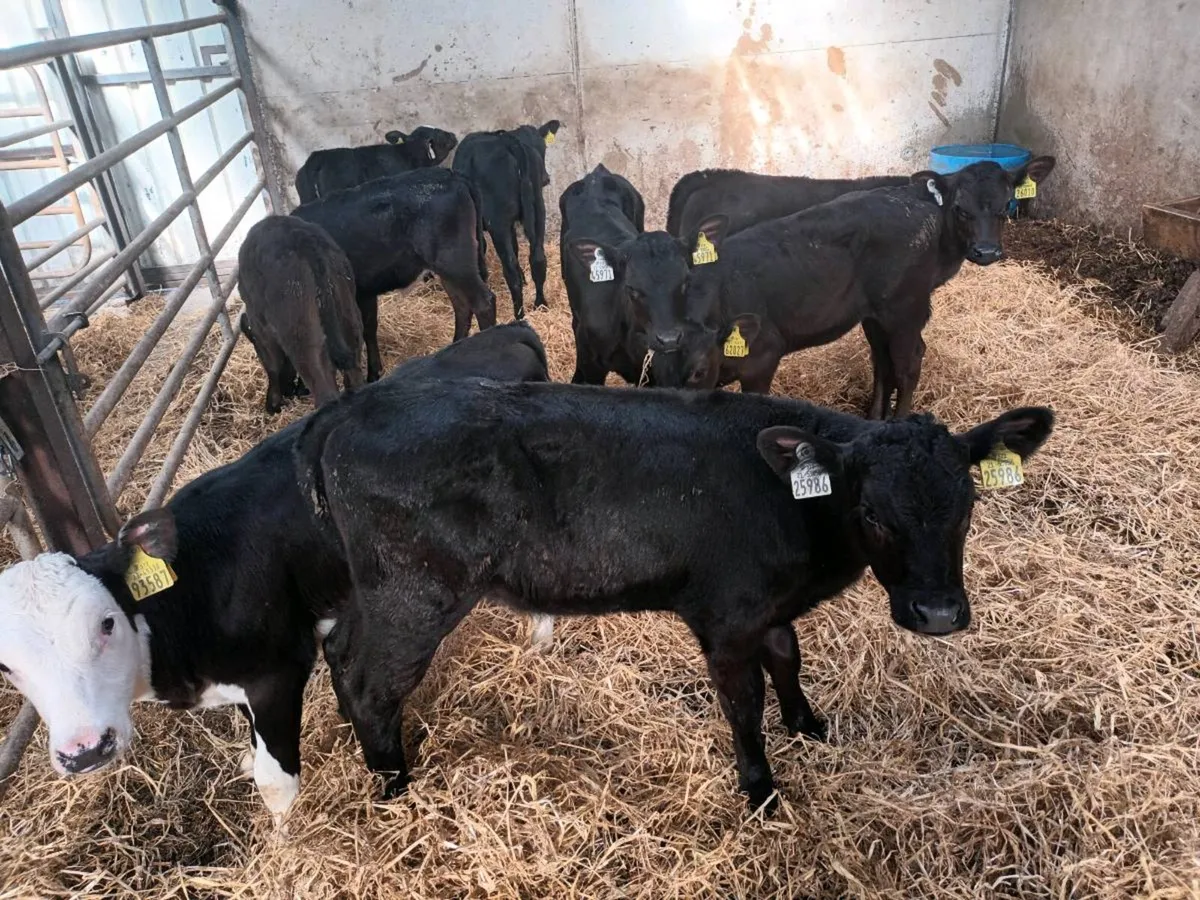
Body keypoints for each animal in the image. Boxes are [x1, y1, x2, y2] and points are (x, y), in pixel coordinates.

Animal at [0, 323, 549, 824]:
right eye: (6, 666)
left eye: (106, 622)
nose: (84, 750)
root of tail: (509, 329)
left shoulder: (277, 672)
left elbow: (274, 779)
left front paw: (284, 842)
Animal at [237, 215, 363, 414]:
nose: (289, 391)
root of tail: (304, 241)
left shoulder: (262, 330)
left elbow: (272, 364)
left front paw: (273, 402)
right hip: (350, 321)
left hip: (302, 340)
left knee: (325, 391)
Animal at [291, 167, 497, 383]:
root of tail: (452, 175)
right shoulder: (365, 291)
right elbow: (369, 328)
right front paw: (374, 373)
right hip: (449, 267)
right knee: (462, 305)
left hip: (455, 262)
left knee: (483, 302)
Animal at [298, 376, 1054, 813]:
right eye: (871, 512)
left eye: (968, 504)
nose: (939, 613)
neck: (794, 511)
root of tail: (352, 406)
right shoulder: (725, 617)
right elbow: (744, 703)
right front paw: (760, 790)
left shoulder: (768, 607)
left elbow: (789, 657)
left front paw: (808, 724)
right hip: (416, 593)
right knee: (371, 683)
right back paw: (396, 789)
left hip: (374, 587)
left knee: (339, 650)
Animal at [452, 120, 561, 319]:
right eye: (543, 149)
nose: (546, 178)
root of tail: (508, 141)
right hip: (538, 208)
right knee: (538, 258)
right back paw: (541, 304)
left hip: (498, 222)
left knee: (510, 271)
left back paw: (519, 314)